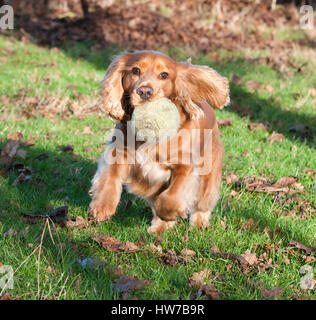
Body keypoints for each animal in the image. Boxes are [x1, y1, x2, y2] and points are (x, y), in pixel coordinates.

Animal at [89, 51, 230, 234]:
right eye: (135, 70)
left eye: (164, 75)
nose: (144, 91)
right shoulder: (119, 152)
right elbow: (109, 178)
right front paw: (102, 207)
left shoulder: (185, 167)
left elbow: (173, 195)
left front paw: (171, 213)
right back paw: (159, 229)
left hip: (209, 175)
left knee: (202, 204)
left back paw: (197, 225)